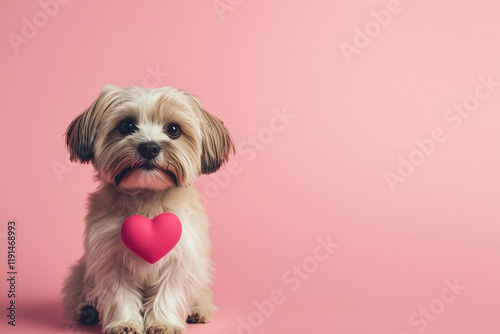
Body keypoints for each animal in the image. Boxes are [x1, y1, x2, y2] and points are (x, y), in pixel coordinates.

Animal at [61, 85, 234, 334]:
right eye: (126, 126)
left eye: (174, 129)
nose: (149, 147)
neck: (147, 198)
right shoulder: (109, 259)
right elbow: (119, 294)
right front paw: (124, 322)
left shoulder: (180, 258)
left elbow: (168, 292)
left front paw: (163, 322)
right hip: (80, 270)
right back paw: (87, 309)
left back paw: (196, 310)